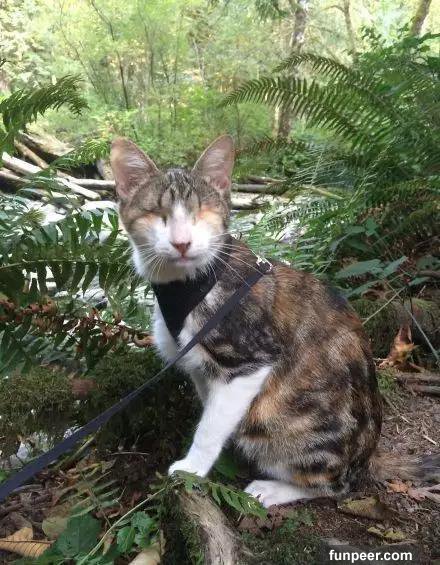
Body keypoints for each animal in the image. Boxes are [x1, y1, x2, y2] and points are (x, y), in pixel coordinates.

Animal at [110, 135, 439, 507]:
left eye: (201, 213)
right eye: (157, 213)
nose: (182, 243)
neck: (189, 284)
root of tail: (367, 458)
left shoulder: (251, 360)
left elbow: (210, 426)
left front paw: (193, 467)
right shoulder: (199, 366)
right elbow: (213, 410)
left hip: (294, 429)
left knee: (336, 485)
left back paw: (274, 487)